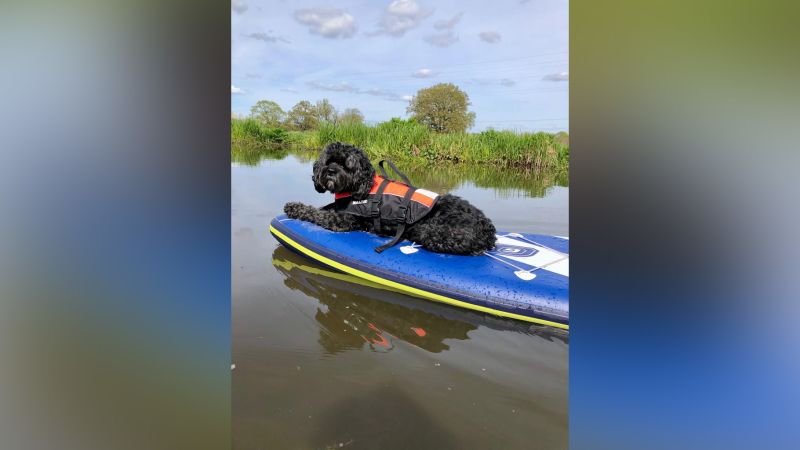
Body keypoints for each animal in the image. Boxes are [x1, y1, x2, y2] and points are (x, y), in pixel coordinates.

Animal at [282, 142, 494, 255]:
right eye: (329, 161)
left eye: (347, 164)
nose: (331, 171)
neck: (361, 185)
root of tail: (487, 228)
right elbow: (324, 207)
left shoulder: (342, 221)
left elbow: (316, 213)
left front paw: (294, 207)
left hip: (430, 231)